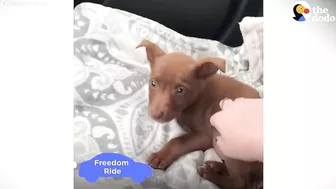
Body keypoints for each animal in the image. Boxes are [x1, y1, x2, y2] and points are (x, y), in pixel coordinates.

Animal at [136, 40, 262, 189]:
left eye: (180, 90)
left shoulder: (205, 136)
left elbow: (178, 141)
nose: (155, 114)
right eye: (153, 83)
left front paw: (160, 155)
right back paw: (214, 166)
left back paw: (211, 174)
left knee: (240, 182)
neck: (197, 97)